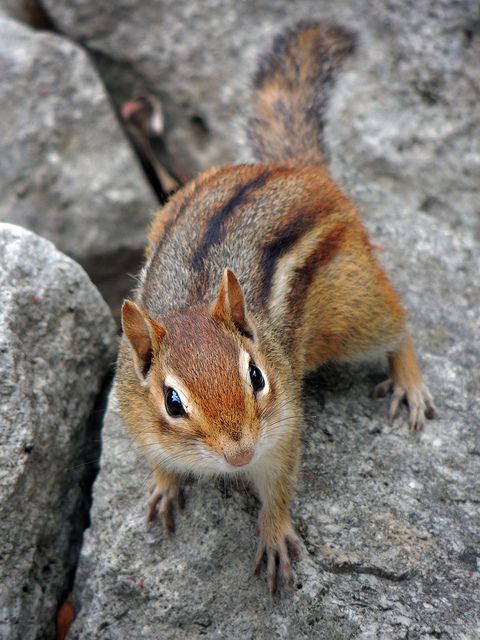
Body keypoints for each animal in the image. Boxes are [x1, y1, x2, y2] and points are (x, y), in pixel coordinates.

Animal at [116, 21, 437, 594]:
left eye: (257, 377)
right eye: (172, 402)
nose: (239, 453)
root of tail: (292, 166)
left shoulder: (282, 430)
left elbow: (281, 485)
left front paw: (273, 535)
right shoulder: (137, 420)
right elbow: (156, 461)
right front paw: (163, 488)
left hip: (355, 309)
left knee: (398, 328)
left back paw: (409, 383)